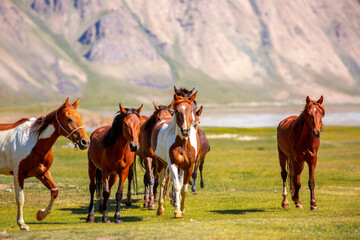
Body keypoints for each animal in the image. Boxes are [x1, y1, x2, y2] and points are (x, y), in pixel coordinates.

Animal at [0, 98, 89, 231]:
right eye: (69, 119)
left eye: (80, 117)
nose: (85, 142)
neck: (32, 142)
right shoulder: (18, 174)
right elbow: (20, 199)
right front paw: (22, 224)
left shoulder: (42, 172)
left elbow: (54, 191)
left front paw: (41, 214)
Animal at [150, 90, 198, 218]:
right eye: (177, 111)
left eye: (191, 110)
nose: (185, 130)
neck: (183, 144)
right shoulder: (173, 164)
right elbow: (176, 186)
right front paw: (177, 211)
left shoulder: (189, 166)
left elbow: (184, 188)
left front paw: (182, 209)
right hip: (161, 164)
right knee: (162, 183)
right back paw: (160, 209)